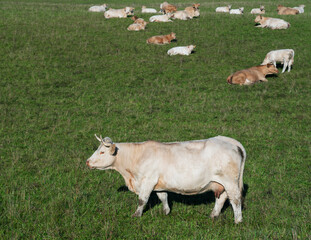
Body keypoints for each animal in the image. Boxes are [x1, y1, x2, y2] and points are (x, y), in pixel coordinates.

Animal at [86, 134, 247, 224]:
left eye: (101, 152)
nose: (87, 162)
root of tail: (231, 142)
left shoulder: (148, 180)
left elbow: (142, 200)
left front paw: (136, 215)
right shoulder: (159, 183)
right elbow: (163, 197)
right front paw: (166, 212)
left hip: (230, 182)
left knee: (235, 200)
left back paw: (238, 221)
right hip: (222, 183)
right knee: (222, 198)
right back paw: (213, 215)